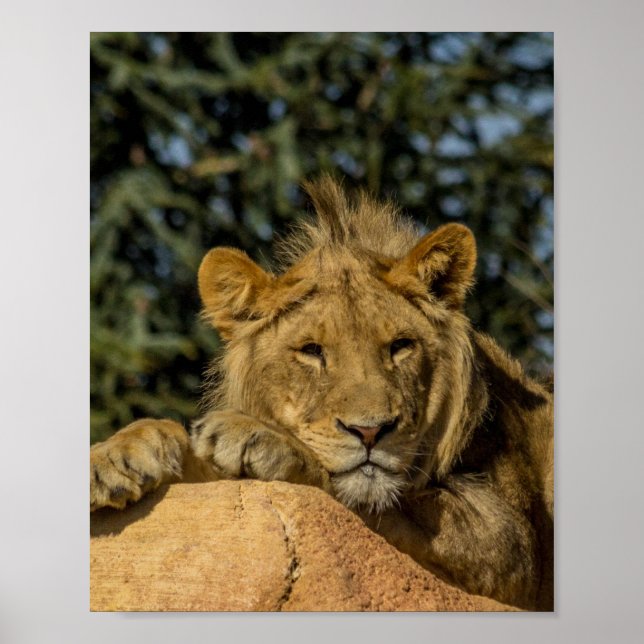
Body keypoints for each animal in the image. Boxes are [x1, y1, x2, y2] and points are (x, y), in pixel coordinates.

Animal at [90, 177, 554, 610]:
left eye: (401, 346)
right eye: (312, 351)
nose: (370, 432)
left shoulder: (507, 542)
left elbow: (365, 493)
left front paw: (264, 440)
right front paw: (114, 457)